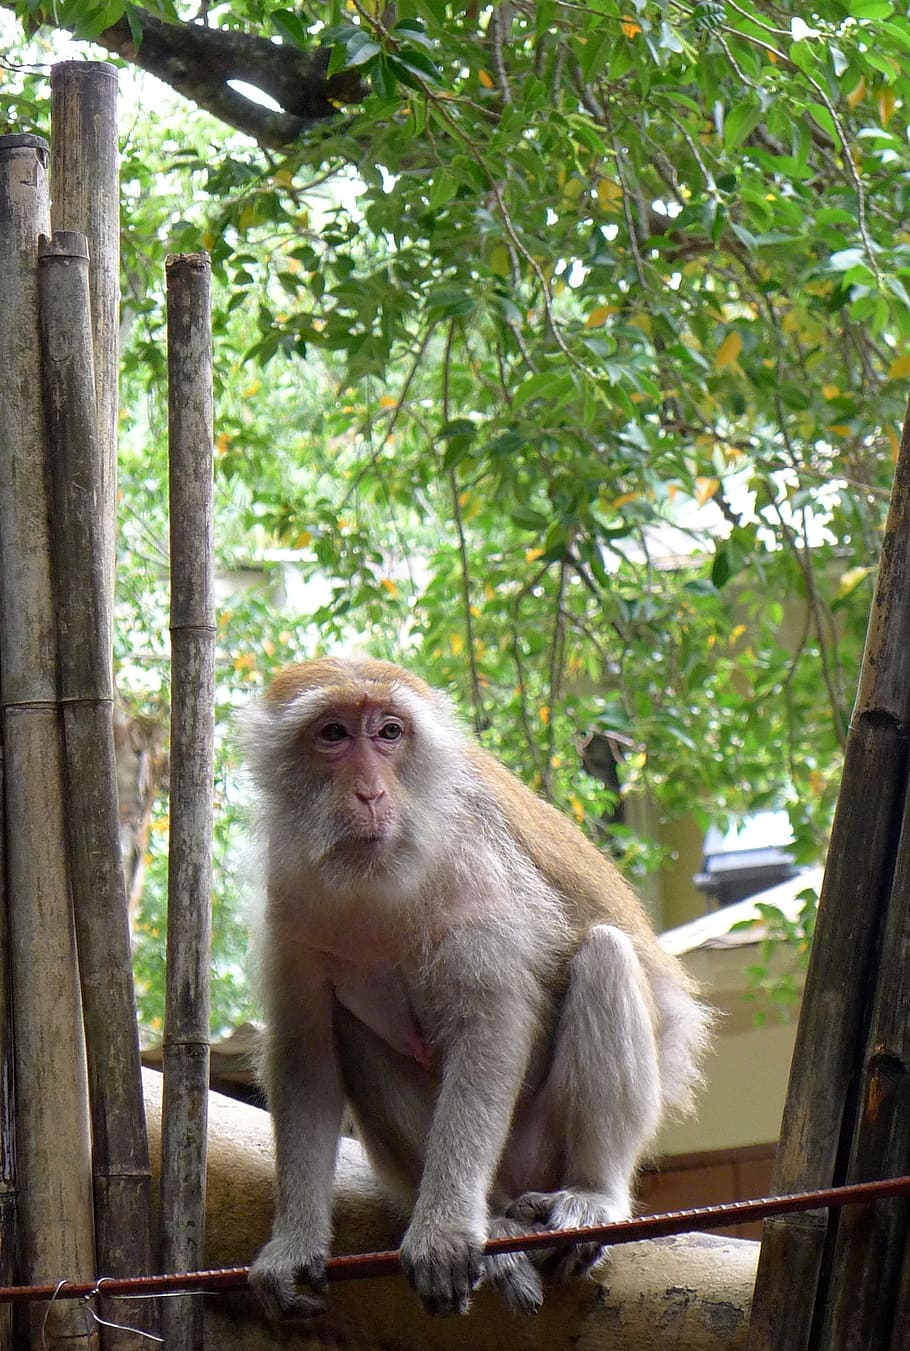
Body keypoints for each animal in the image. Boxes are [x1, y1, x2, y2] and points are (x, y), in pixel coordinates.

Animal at [240, 654, 712, 1319]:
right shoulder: (289, 898)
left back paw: (591, 1193)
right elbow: (305, 1053)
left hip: (542, 1145)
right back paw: (495, 1220)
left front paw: (443, 1230)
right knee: (347, 1029)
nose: (370, 792)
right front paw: (293, 1244)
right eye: (333, 734)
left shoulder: (474, 866)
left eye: (389, 732)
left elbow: (491, 1025)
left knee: (605, 956)